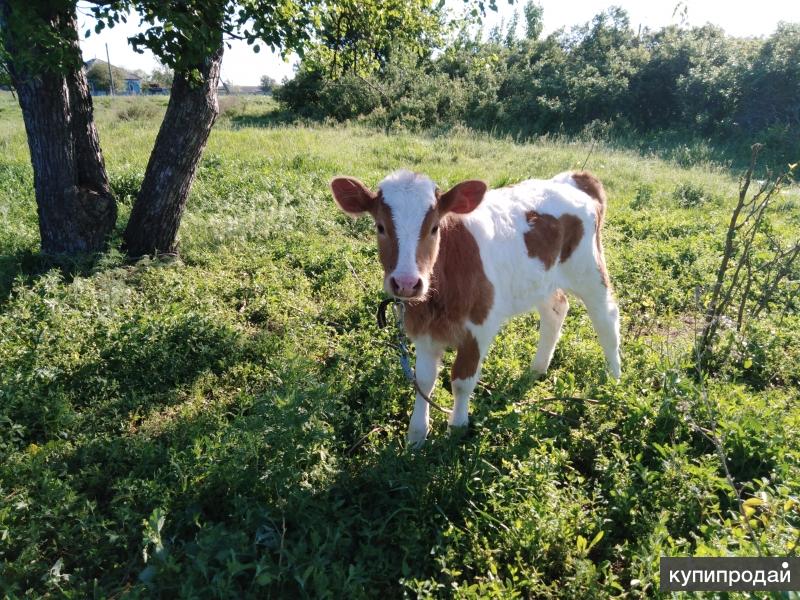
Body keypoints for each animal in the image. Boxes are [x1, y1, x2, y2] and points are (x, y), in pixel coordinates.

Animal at [328, 169, 620, 446]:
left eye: (434, 228)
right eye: (380, 227)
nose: (407, 283)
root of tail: (571, 180)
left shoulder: (480, 326)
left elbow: (461, 381)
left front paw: (457, 428)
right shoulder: (423, 330)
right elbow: (424, 381)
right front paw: (417, 435)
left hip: (589, 270)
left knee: (606, 318)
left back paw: (614, 380)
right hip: (543, 280)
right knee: (556, 310)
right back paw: (537, 369)